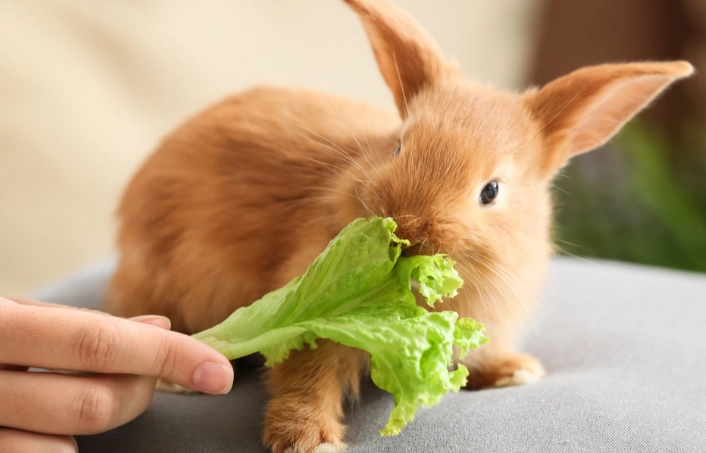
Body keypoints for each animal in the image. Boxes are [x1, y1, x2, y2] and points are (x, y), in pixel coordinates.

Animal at [104, 0, 694, 451]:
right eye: (398, 146)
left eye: (491, 191)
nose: (407, 230)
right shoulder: (311, 318)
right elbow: (305, 378)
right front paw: (309, 441)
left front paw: (515, 371)